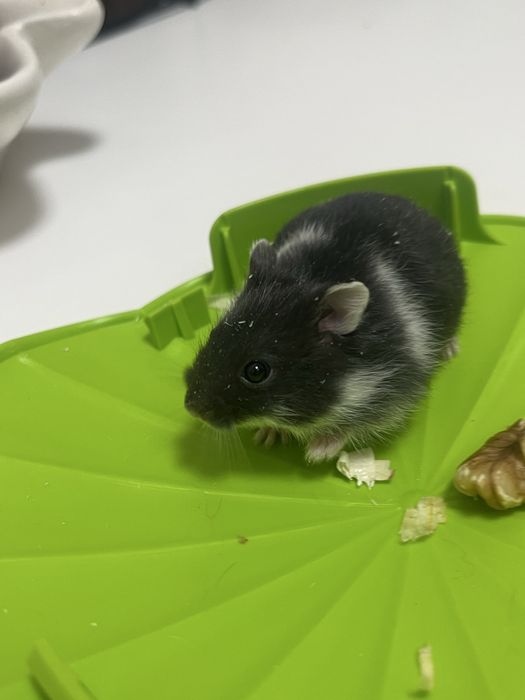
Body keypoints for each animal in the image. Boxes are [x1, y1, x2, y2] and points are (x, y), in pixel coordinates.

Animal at [184, 192, 466, 462]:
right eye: (214, 334)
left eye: (256, 371)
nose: (191, 408)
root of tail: (413, 206)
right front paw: (265, 436)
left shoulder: (391, 393)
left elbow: (353, 426)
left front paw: (317, 453)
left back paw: (450, 351)